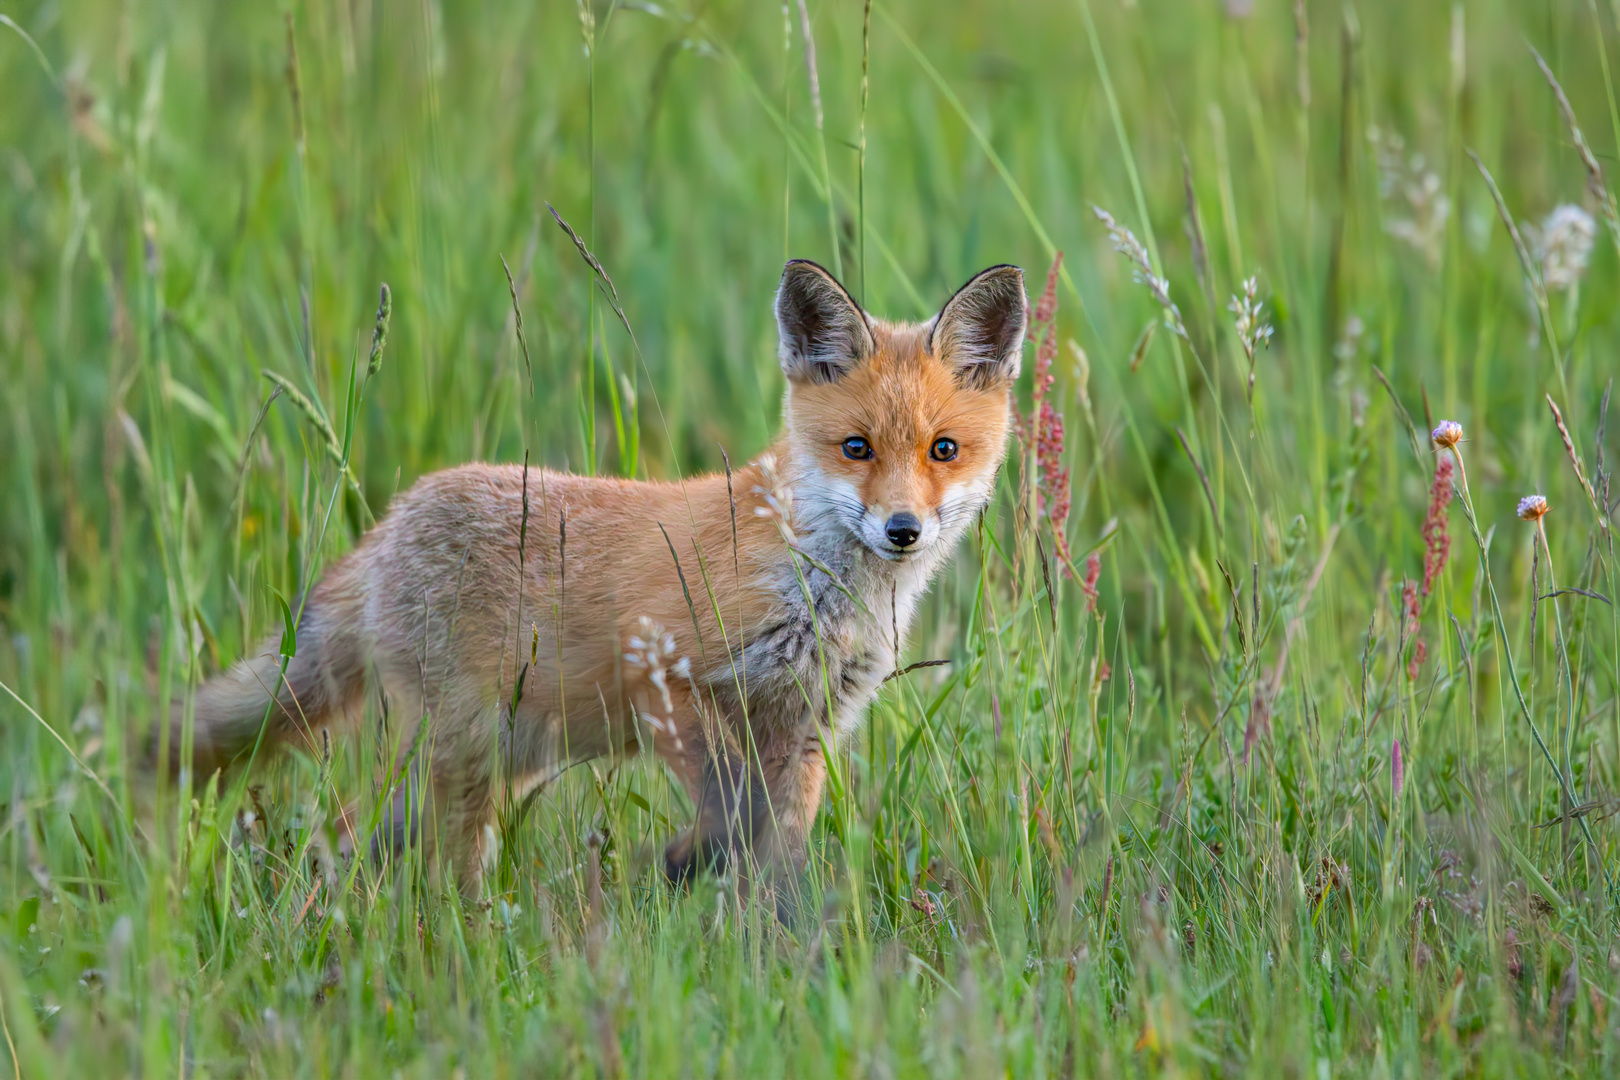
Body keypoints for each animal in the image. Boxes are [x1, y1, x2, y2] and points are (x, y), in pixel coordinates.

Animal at [170, 259, 1030, 893]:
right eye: (857, 448)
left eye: (943, 450)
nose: (902, 531)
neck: (816, 590)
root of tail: (387, 524)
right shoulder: (664, 674)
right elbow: (728, 817)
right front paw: (685, 865)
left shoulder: (805, 728)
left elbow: (775, 849)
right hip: (466, 759)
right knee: (426, 862)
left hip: (494, 762)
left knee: (342, 835)